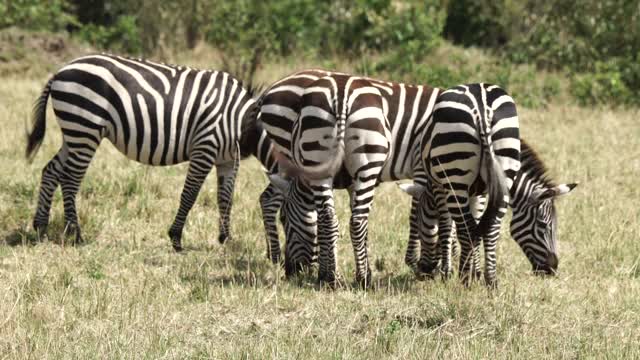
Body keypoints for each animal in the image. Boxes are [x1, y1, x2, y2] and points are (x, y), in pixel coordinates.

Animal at [23, 53, 262, 250]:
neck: (239, 119)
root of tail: (60, 71)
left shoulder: (227, 159)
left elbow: (226, 198)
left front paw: (226, 239)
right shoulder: (205, 147)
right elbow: (190, 194)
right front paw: (176, 238)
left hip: (74, 132)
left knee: (51, 171)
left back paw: (41, 227)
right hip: (85, 126)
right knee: (70, 178)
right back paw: (75, 234)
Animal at [260, 69, 440, 286]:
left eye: (285, 219)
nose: (290, 271)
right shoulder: (423, 166)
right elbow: (420, 214)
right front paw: (424, 264)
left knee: (322, 215)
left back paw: (323, 274)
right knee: (272, 199)